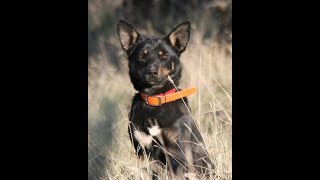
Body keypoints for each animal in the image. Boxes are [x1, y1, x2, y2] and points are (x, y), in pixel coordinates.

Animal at [116, 20, 214, 179]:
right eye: (142, 55)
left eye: (164, 56)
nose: (152, 72)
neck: (156, 99)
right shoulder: (142, 149)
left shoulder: (178, 151)